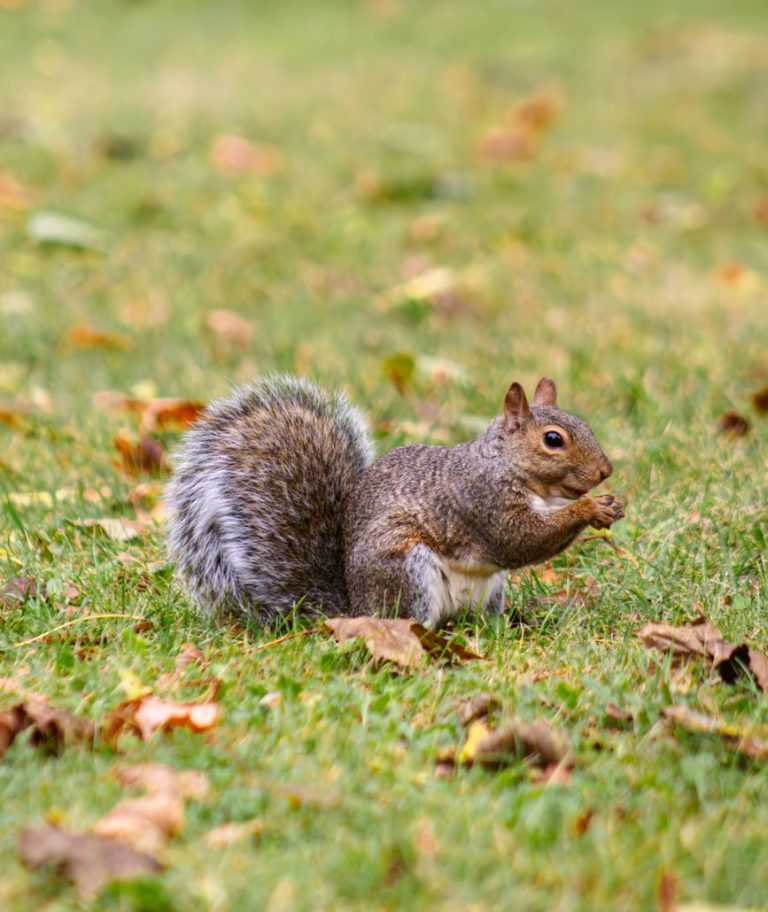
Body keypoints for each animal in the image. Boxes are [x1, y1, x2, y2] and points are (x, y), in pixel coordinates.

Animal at [166, 374, 624, 627]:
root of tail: (355, 608)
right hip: (405, 570)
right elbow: (519, 540)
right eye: (553, 440)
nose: (605, 471)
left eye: (584, 425)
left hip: (487, 588)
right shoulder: (481, 501)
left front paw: (608, 506)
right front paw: (589, 508)